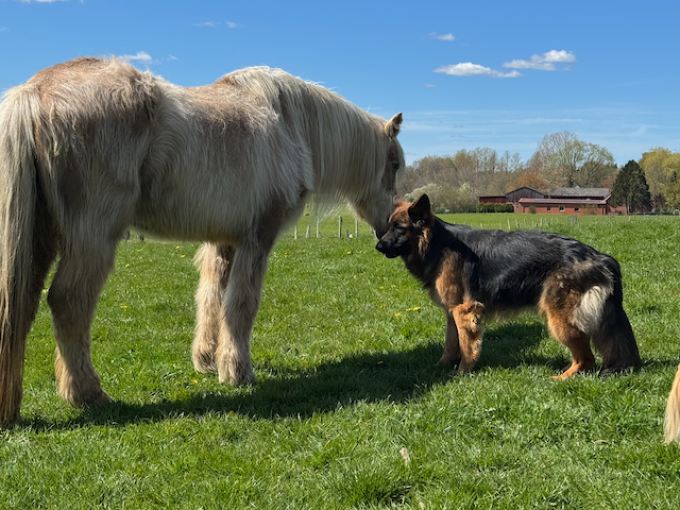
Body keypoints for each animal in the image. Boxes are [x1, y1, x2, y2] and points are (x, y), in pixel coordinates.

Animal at [0, 57, 405, 425]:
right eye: (395, 164)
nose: (388, 229)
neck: (291, 123)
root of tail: (32, 91)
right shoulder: (257, 237)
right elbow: (241, 304)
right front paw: (238, 371)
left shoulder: (223, 242)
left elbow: (212, 300)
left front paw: (208, 361)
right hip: (92, 238)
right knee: (68, 302)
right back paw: (88, 394)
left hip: (40, 239)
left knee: (24, 305)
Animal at [376, 194, 641, 379]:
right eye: (389, 226)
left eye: (399, 228)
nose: (378, 246)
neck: (439, 245)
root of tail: (599, 256)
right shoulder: (452, 313)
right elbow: (451, 344)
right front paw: (441, 367)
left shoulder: (464, 311)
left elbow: (466, 346)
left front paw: (461, 374)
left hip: (559, 319)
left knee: (587, 359)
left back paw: (561, 378)